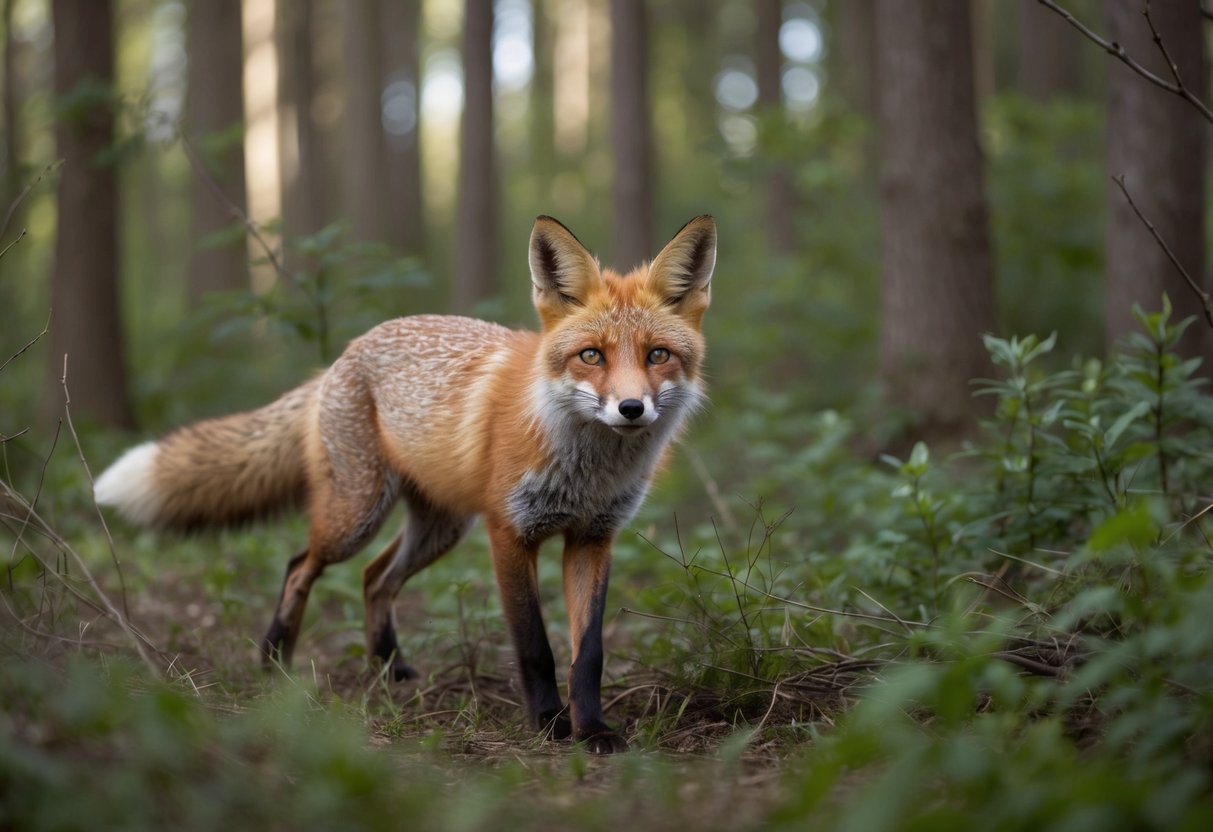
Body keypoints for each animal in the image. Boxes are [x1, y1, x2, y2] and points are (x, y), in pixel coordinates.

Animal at [94, 215, 715, 753]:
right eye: (592, 355)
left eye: (657, 355)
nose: (631, 409)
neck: (586, 468)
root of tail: (345, 353)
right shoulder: (509, 534)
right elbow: (536, 647)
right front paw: (548, 723)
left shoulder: (593, 537)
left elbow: (589, 654)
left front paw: (594, 730)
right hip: (358, 515)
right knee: (300, 565)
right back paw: (274, 661)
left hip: (439, 529)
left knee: (375, 579)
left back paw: (389, 669)